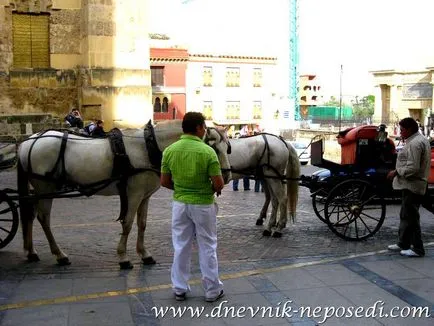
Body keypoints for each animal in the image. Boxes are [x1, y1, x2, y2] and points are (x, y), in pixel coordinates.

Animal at [17, 121, 232, 268]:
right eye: (213, 147)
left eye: (228, 147)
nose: (227, 176)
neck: (148, 147)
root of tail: (28, 141)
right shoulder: (134, 193)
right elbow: (127, 223)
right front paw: (123, 257)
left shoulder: (145, 195)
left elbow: (142, 224)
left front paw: (144, 254)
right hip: (45, 187)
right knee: (43, 218)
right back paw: (59, 254)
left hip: (38, 190)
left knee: (29, 214)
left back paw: (31, 251)